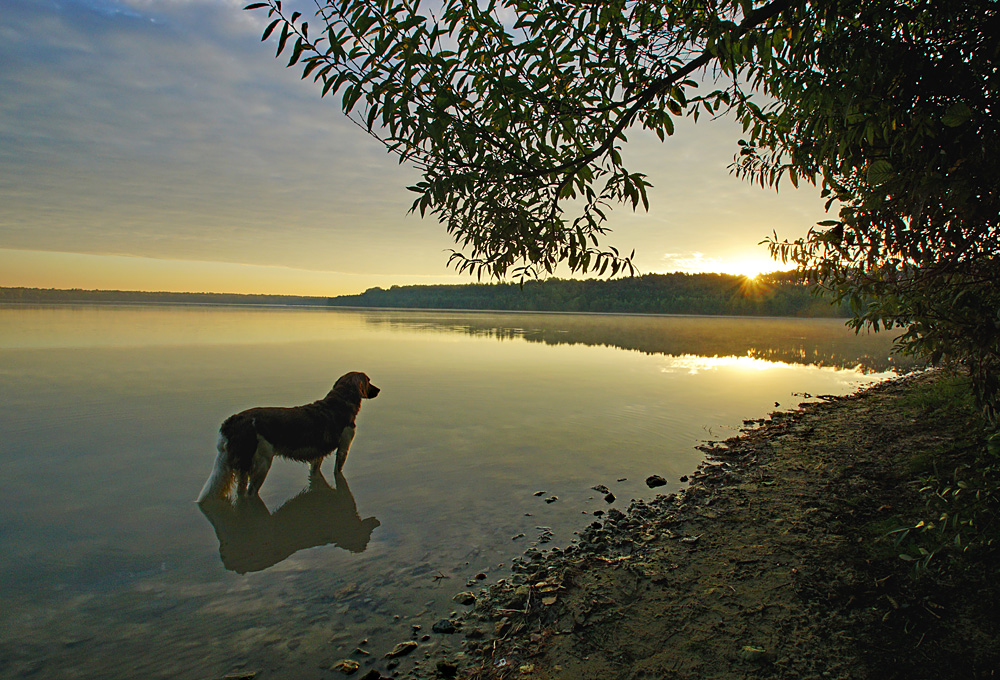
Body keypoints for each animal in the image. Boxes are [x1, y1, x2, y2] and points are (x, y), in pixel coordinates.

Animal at [195, 370, 378, 502]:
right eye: (369, 381)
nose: (379, 389)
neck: (340, 400)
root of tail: (231, 422)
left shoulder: (316, 455)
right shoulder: (343, 447)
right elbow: (337, 470)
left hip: (240, 467)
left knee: (240, 492)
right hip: (261, 464)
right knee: (250, 492)